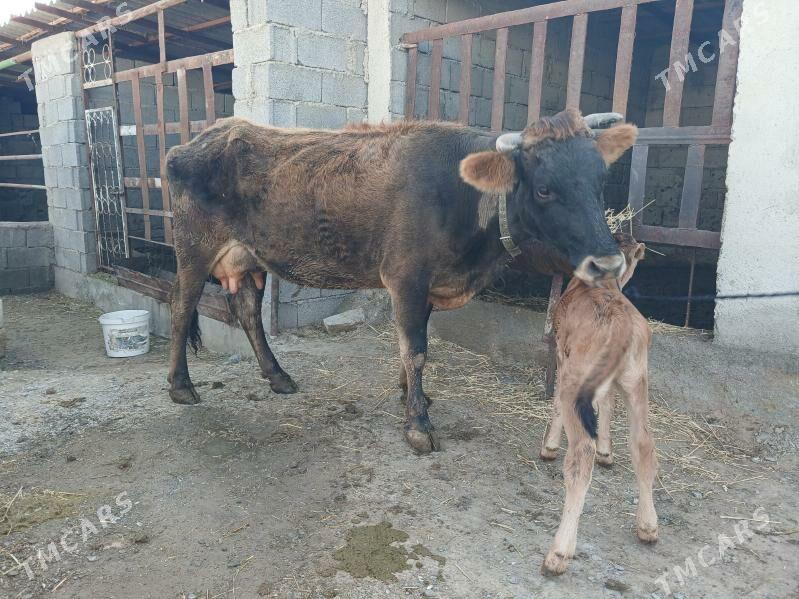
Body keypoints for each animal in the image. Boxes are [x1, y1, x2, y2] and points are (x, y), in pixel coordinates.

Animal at [164, 108, 639, 454]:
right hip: (193, 249)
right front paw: (417, 425)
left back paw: (277, 376)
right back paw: (181, 386)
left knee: (247, 312)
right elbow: (416, 350)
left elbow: (413, 346)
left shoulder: (426, 286)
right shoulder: (406, 277)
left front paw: (413, 396)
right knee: (180, 307)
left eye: (600, 182)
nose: (607, 262)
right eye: (543, 188)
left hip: (248, 258)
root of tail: (203, 137)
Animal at [539, 232, 657, 576]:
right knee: (643, 443)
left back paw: (559, 553)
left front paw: (549, 447)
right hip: (637, 379)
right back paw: (648, 526)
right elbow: (607, 403)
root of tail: (622, 322)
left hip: (578, 376)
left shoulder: (562, 357)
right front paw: (608, 451)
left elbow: (555, 402)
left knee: (581, 455)